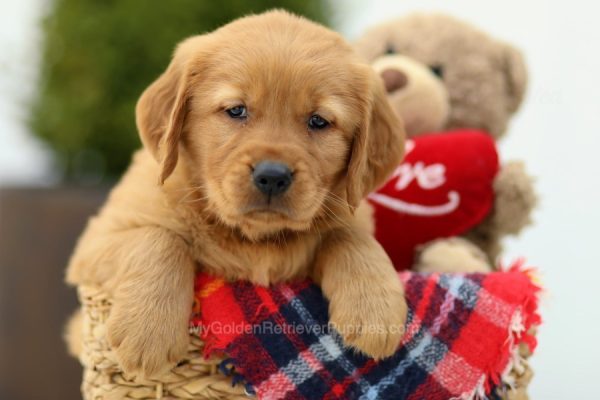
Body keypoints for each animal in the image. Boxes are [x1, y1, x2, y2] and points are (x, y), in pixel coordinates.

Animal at [67, 9, 408, 378]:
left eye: (319, 121)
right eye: (236, 110)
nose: (272, 176)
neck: (252, 238)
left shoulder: (348, 216)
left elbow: (348, 236)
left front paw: (375, 311)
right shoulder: (95, 242)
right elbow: (159, 238)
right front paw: (148, 330)